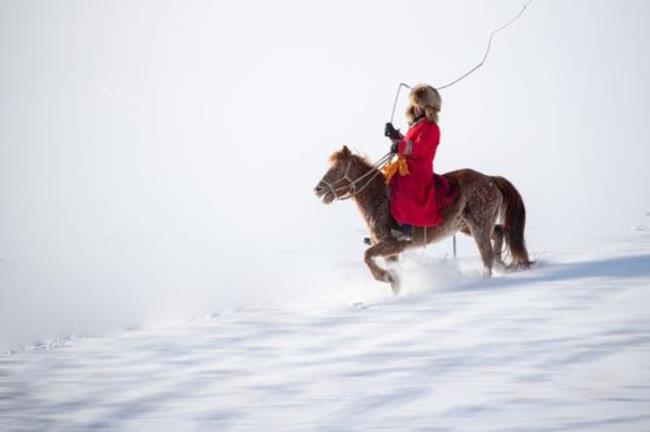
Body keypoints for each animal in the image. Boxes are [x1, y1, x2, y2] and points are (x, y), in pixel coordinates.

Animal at [314, 145, 532, 294]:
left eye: (338, 168)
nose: (318, 189)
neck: (380, 198)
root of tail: (491, 179)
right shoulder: (391, 252)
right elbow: (394, 278)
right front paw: (393, 286)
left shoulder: (392, 244)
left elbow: (366, 256)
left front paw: (384, 277)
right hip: (469, 226)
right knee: (499, 233)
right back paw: (502, 266)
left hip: (478, 226)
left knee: (486, 254)